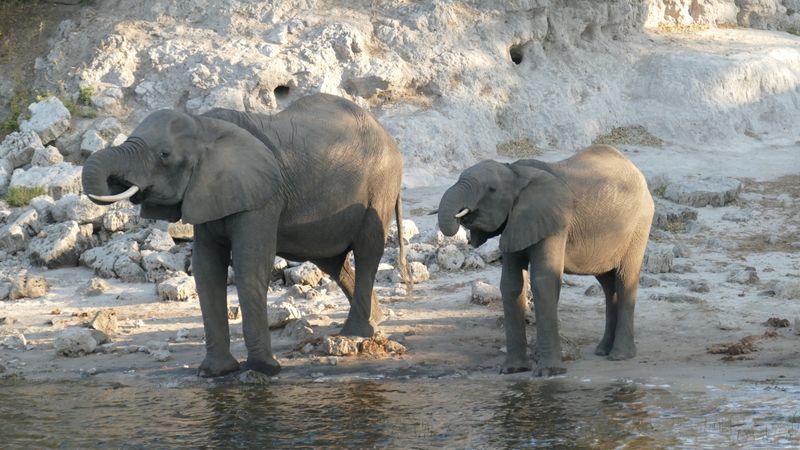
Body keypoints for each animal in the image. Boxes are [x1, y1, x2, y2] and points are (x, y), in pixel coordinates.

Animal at [82, 93, 408, 377]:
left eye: (164, 155)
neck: (204, 125)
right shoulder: (208, 193)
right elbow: (206, 270)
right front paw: (214, 373)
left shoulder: (262, 197)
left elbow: (250, 266)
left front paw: (263, 370)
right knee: (332, 263)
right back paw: (373, 321)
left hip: (380, 185)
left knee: (367, 250)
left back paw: (356, 333)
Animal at [437, 145, 654, 376]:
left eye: (491, 189)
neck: (515, 173)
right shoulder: (515, 222)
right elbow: (511, 285)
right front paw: (513, 370)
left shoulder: (555, 221)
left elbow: (544, 281)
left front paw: (549, 372)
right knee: (607, 282)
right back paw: (603, 351)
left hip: (640, 224)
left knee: (624, 278)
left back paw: (619, 356)